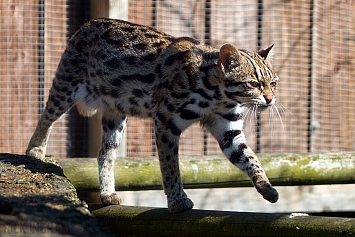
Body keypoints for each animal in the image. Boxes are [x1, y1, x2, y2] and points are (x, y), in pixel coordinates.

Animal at [25, 18, 280, 214]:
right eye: (254, 84)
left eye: (273, 83)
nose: (270, 99)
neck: (218, 95)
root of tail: (88, 24)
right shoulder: (166, 120)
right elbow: (169, 166)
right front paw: (177, 201)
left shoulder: (227, 127)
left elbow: (248, 158)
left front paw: (265, 186)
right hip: (67, 83)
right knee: (47, 114)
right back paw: (36, 149)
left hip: (115, 114)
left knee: (105, 154)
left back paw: (108, 194)